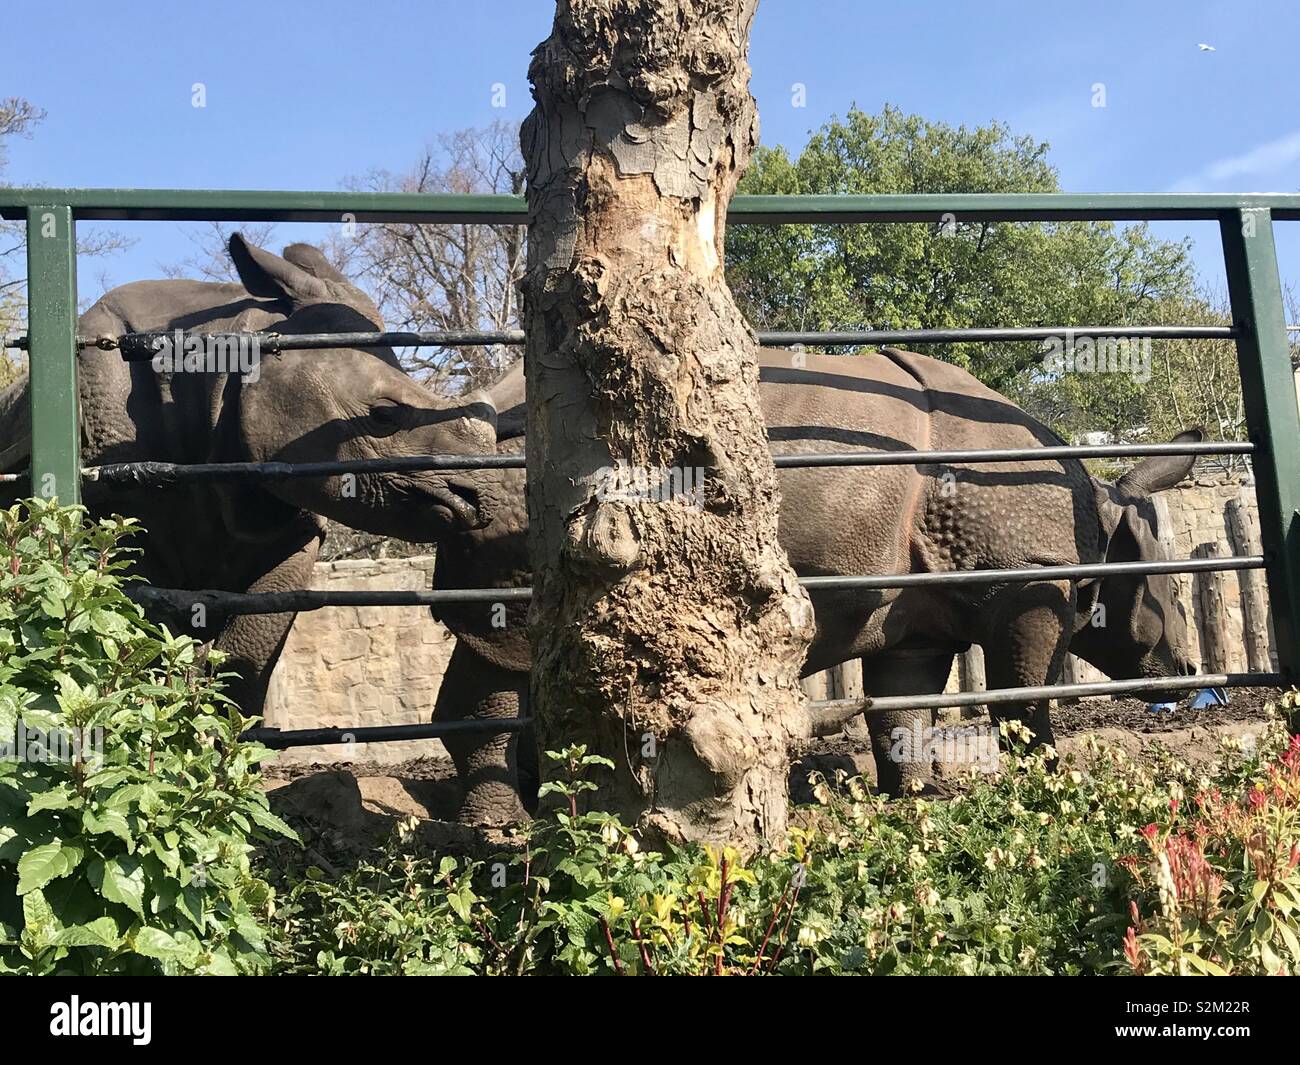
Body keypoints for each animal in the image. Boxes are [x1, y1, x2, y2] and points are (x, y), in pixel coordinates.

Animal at [0, 235, 499, 715]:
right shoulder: (116, 511)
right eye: (382, 416)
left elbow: (249, 649)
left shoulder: (291, 522)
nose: (481, 498)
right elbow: (141, 633)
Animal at [430, 347, 1199, 823]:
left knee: (498, 644)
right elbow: (1025, 695)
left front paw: (914, 797)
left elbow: (903, 707)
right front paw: (1050, 784)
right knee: (512, 646)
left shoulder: (917, 616)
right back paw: (505, 829)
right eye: (1172, 596)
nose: (1191, 671)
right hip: (548, 483)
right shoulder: (1024, 589)